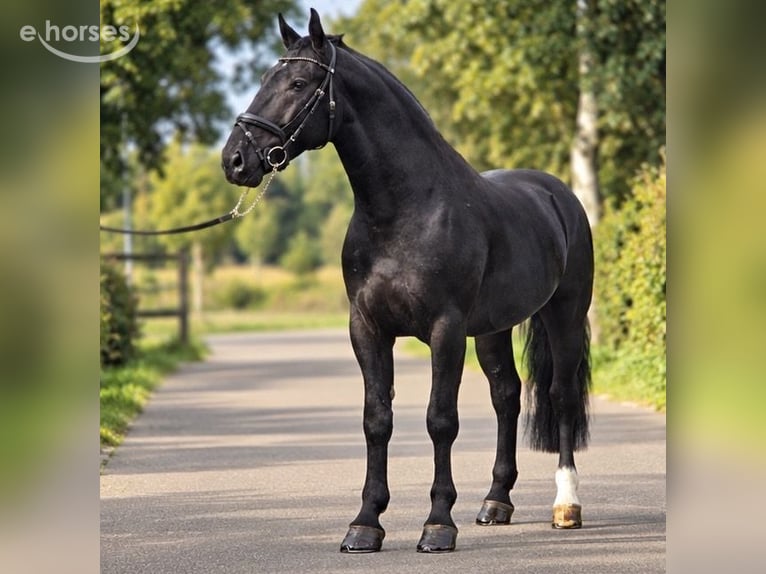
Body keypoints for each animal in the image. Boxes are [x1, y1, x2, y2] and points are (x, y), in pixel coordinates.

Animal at [221, 9, 593, 554]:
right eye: (265, 78)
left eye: (298, 83)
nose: (234, 160)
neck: (403, 210)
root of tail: (557, 194)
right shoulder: (367, 329)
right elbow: (377, 420)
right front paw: (365, 524)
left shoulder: (445, 329)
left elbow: (440, 420)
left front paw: (438, 525)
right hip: (494, 329)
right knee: (506, 396)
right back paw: (495, 502)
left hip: (563, 314)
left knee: (561, 396)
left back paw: (566, 505)